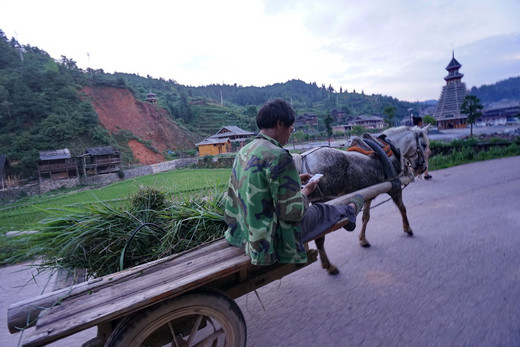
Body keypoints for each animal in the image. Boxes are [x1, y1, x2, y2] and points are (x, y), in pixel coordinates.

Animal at [292, 126, 430, 276]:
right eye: (424, 145)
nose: (422, 167)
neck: (391, 147)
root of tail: (304, 157)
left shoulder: (369, 192)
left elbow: (366, 217)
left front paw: (363, 240)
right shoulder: (395, 187)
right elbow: (402, 208)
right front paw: (408, 229)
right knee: (319, 237)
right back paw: (329, 266)